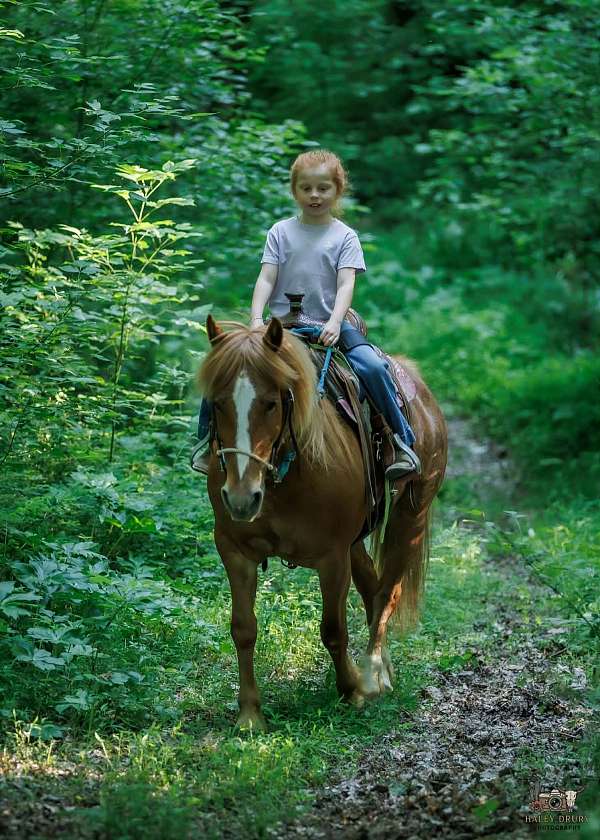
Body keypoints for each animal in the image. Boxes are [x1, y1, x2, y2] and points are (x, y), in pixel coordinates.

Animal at [198, 314, 448, 729]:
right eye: (217, 404)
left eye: (270, 403)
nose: (241, 497)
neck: (286, 474)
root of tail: (417, 384)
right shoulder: (235, 550)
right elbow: (243, 628)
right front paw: (250, 714)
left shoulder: (332, 556)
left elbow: (332, 629)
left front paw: (352, 690)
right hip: (357, 540)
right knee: (371, 586)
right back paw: (383, 670)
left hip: (410, 518)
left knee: (387, 592)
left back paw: (372, 672)